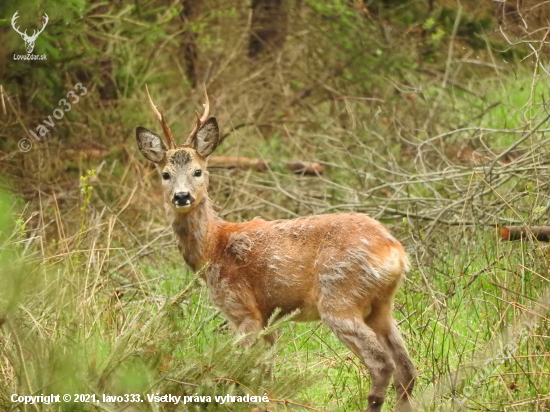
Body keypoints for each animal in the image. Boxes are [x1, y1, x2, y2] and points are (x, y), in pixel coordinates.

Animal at [138, 87, 418, 412]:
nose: (182, 197)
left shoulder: (242, 308)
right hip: (381, 305)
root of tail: (395, 252)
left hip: (339, 297)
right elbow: (266, 372)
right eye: (165, 174)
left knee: (382, 364)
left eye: (198, 171)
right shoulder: (269, 317)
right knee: (406, 368)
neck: (213, 248)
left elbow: (238, 368)